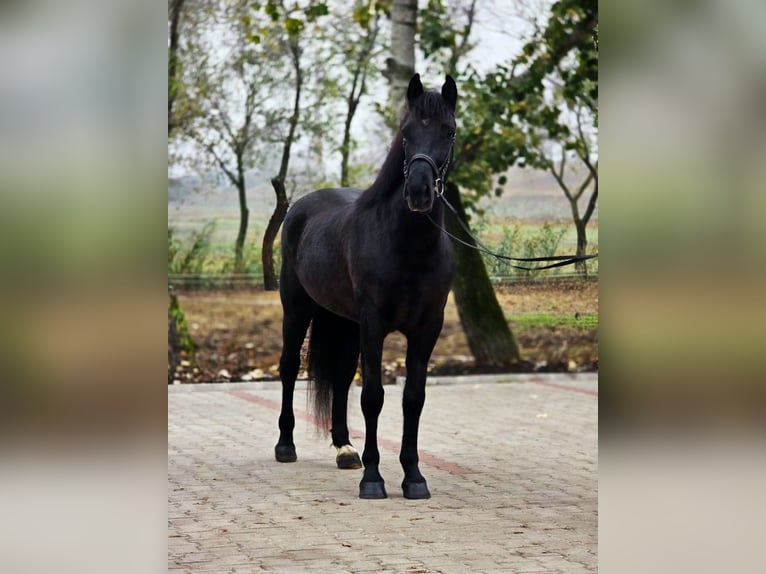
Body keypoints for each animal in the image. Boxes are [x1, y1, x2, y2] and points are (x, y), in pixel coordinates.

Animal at [274, 73, 458, 499]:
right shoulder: (374, 323)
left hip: (344, 321)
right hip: (298, 309)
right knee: (289, 367)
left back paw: (345, 448)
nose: (419, 192)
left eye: (449, 131)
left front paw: (413, 477)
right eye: (406, 133)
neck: (408, 246)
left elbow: (413, 398)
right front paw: (373, 479)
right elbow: (373, 396)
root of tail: (300, 208)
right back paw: (286, 445)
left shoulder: (427, 328)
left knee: (341, 378)